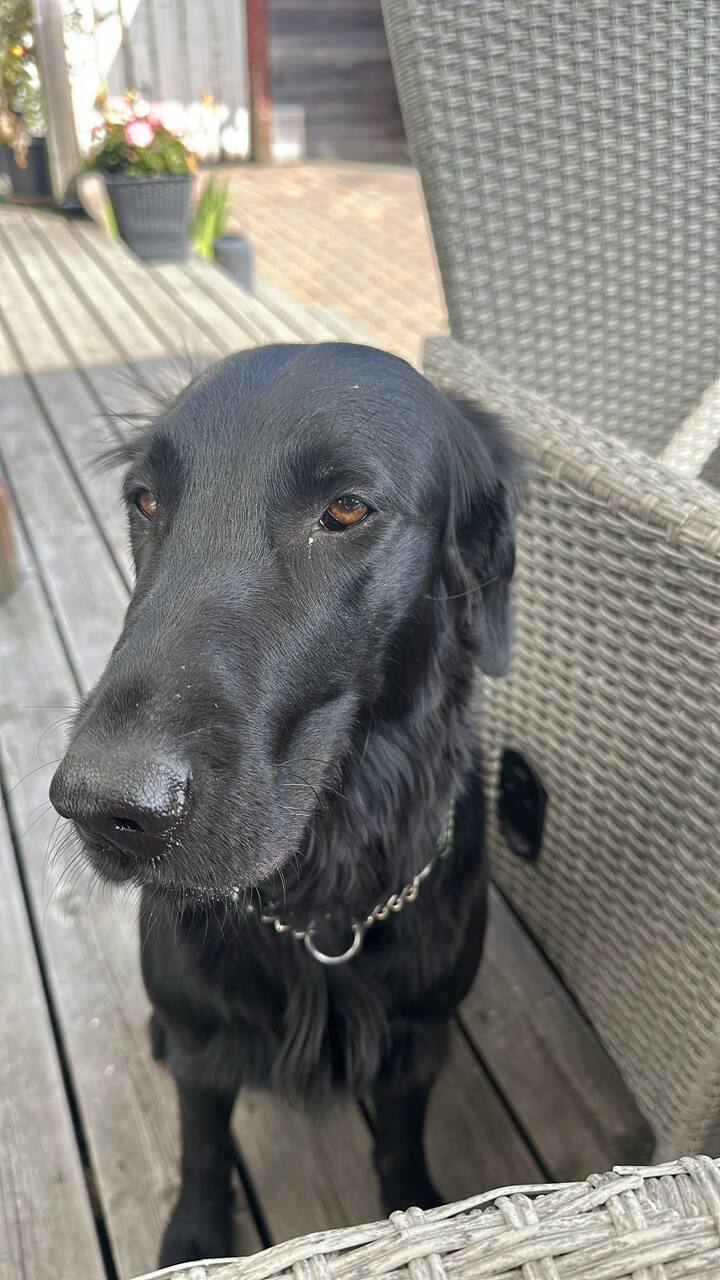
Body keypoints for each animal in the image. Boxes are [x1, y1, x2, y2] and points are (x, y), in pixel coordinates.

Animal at [49, 342, 518, 1266]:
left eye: (345, 508)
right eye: (146, 501)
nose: (103, 807)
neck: (321, 911)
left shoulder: (418, 1040)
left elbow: (400, 1141)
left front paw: (419, 1206)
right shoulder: (201, 1041)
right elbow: (201, 1146)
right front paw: (196, 1240)